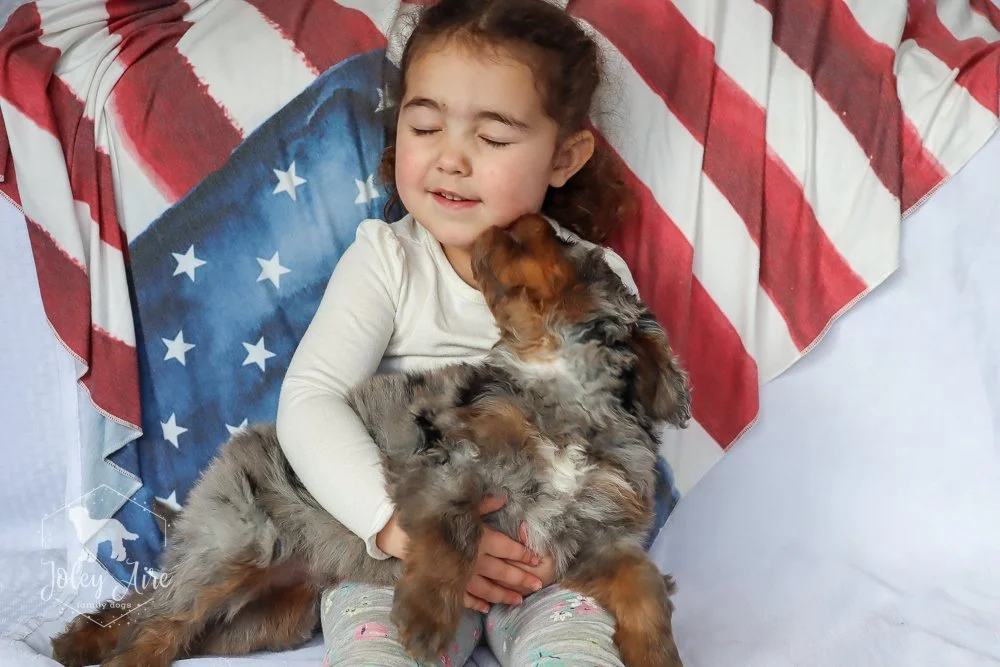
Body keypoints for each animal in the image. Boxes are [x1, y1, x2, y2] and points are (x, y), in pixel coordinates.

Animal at [51, 213, 690, 667]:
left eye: (559, 237)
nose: (521, 215)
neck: (559, 394)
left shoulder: (592, 539)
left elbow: (644, 587)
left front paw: (658, 653)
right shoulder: (448, 460)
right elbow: (453, 534)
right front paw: (428, 618)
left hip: (263, 619)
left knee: (164, 617)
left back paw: (83, 642)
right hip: (234, 546)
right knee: (157, 621)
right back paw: (100, 651)